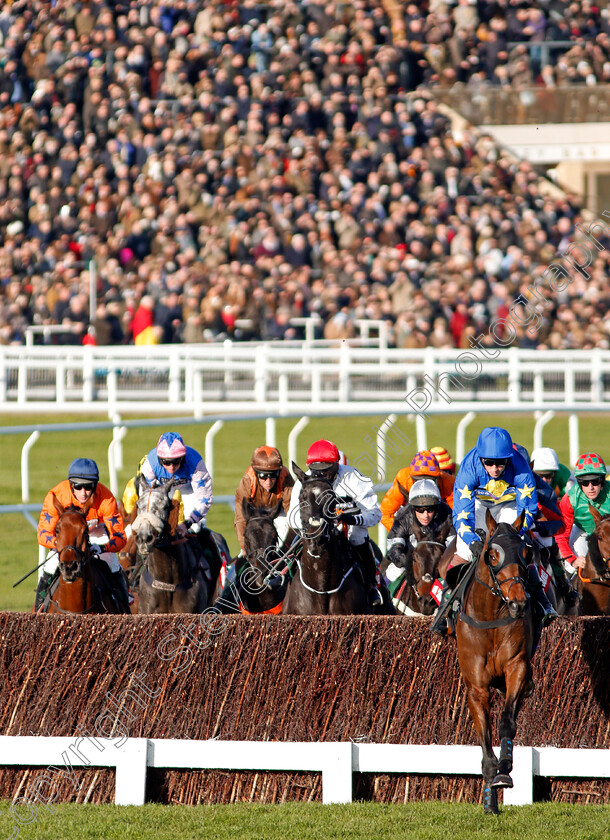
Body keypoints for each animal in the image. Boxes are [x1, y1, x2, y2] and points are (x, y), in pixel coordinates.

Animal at [452, 508, 532, 816]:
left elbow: (507, 722)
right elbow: (484, 742)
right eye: (492, 554)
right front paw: (489, 800)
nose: (519, 603)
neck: (490, 618)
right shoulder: (477, 687)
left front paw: (504, 770)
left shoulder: (517, 667)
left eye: (525, 552)